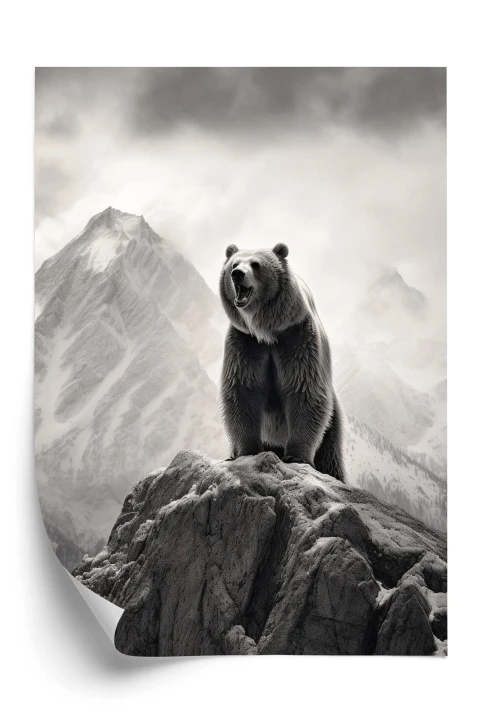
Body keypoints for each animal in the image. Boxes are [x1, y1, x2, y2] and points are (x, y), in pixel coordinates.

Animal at [219, 242, 346, 482]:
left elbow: (304, 389)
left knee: (330, 455)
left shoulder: (296, 338)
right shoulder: (245, 343)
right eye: (234, 263)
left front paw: (296, 455)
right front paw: (247, 451)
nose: (237, 274)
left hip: (333, 424)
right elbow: (243, 389)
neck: (267, 331)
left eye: (255, 264)